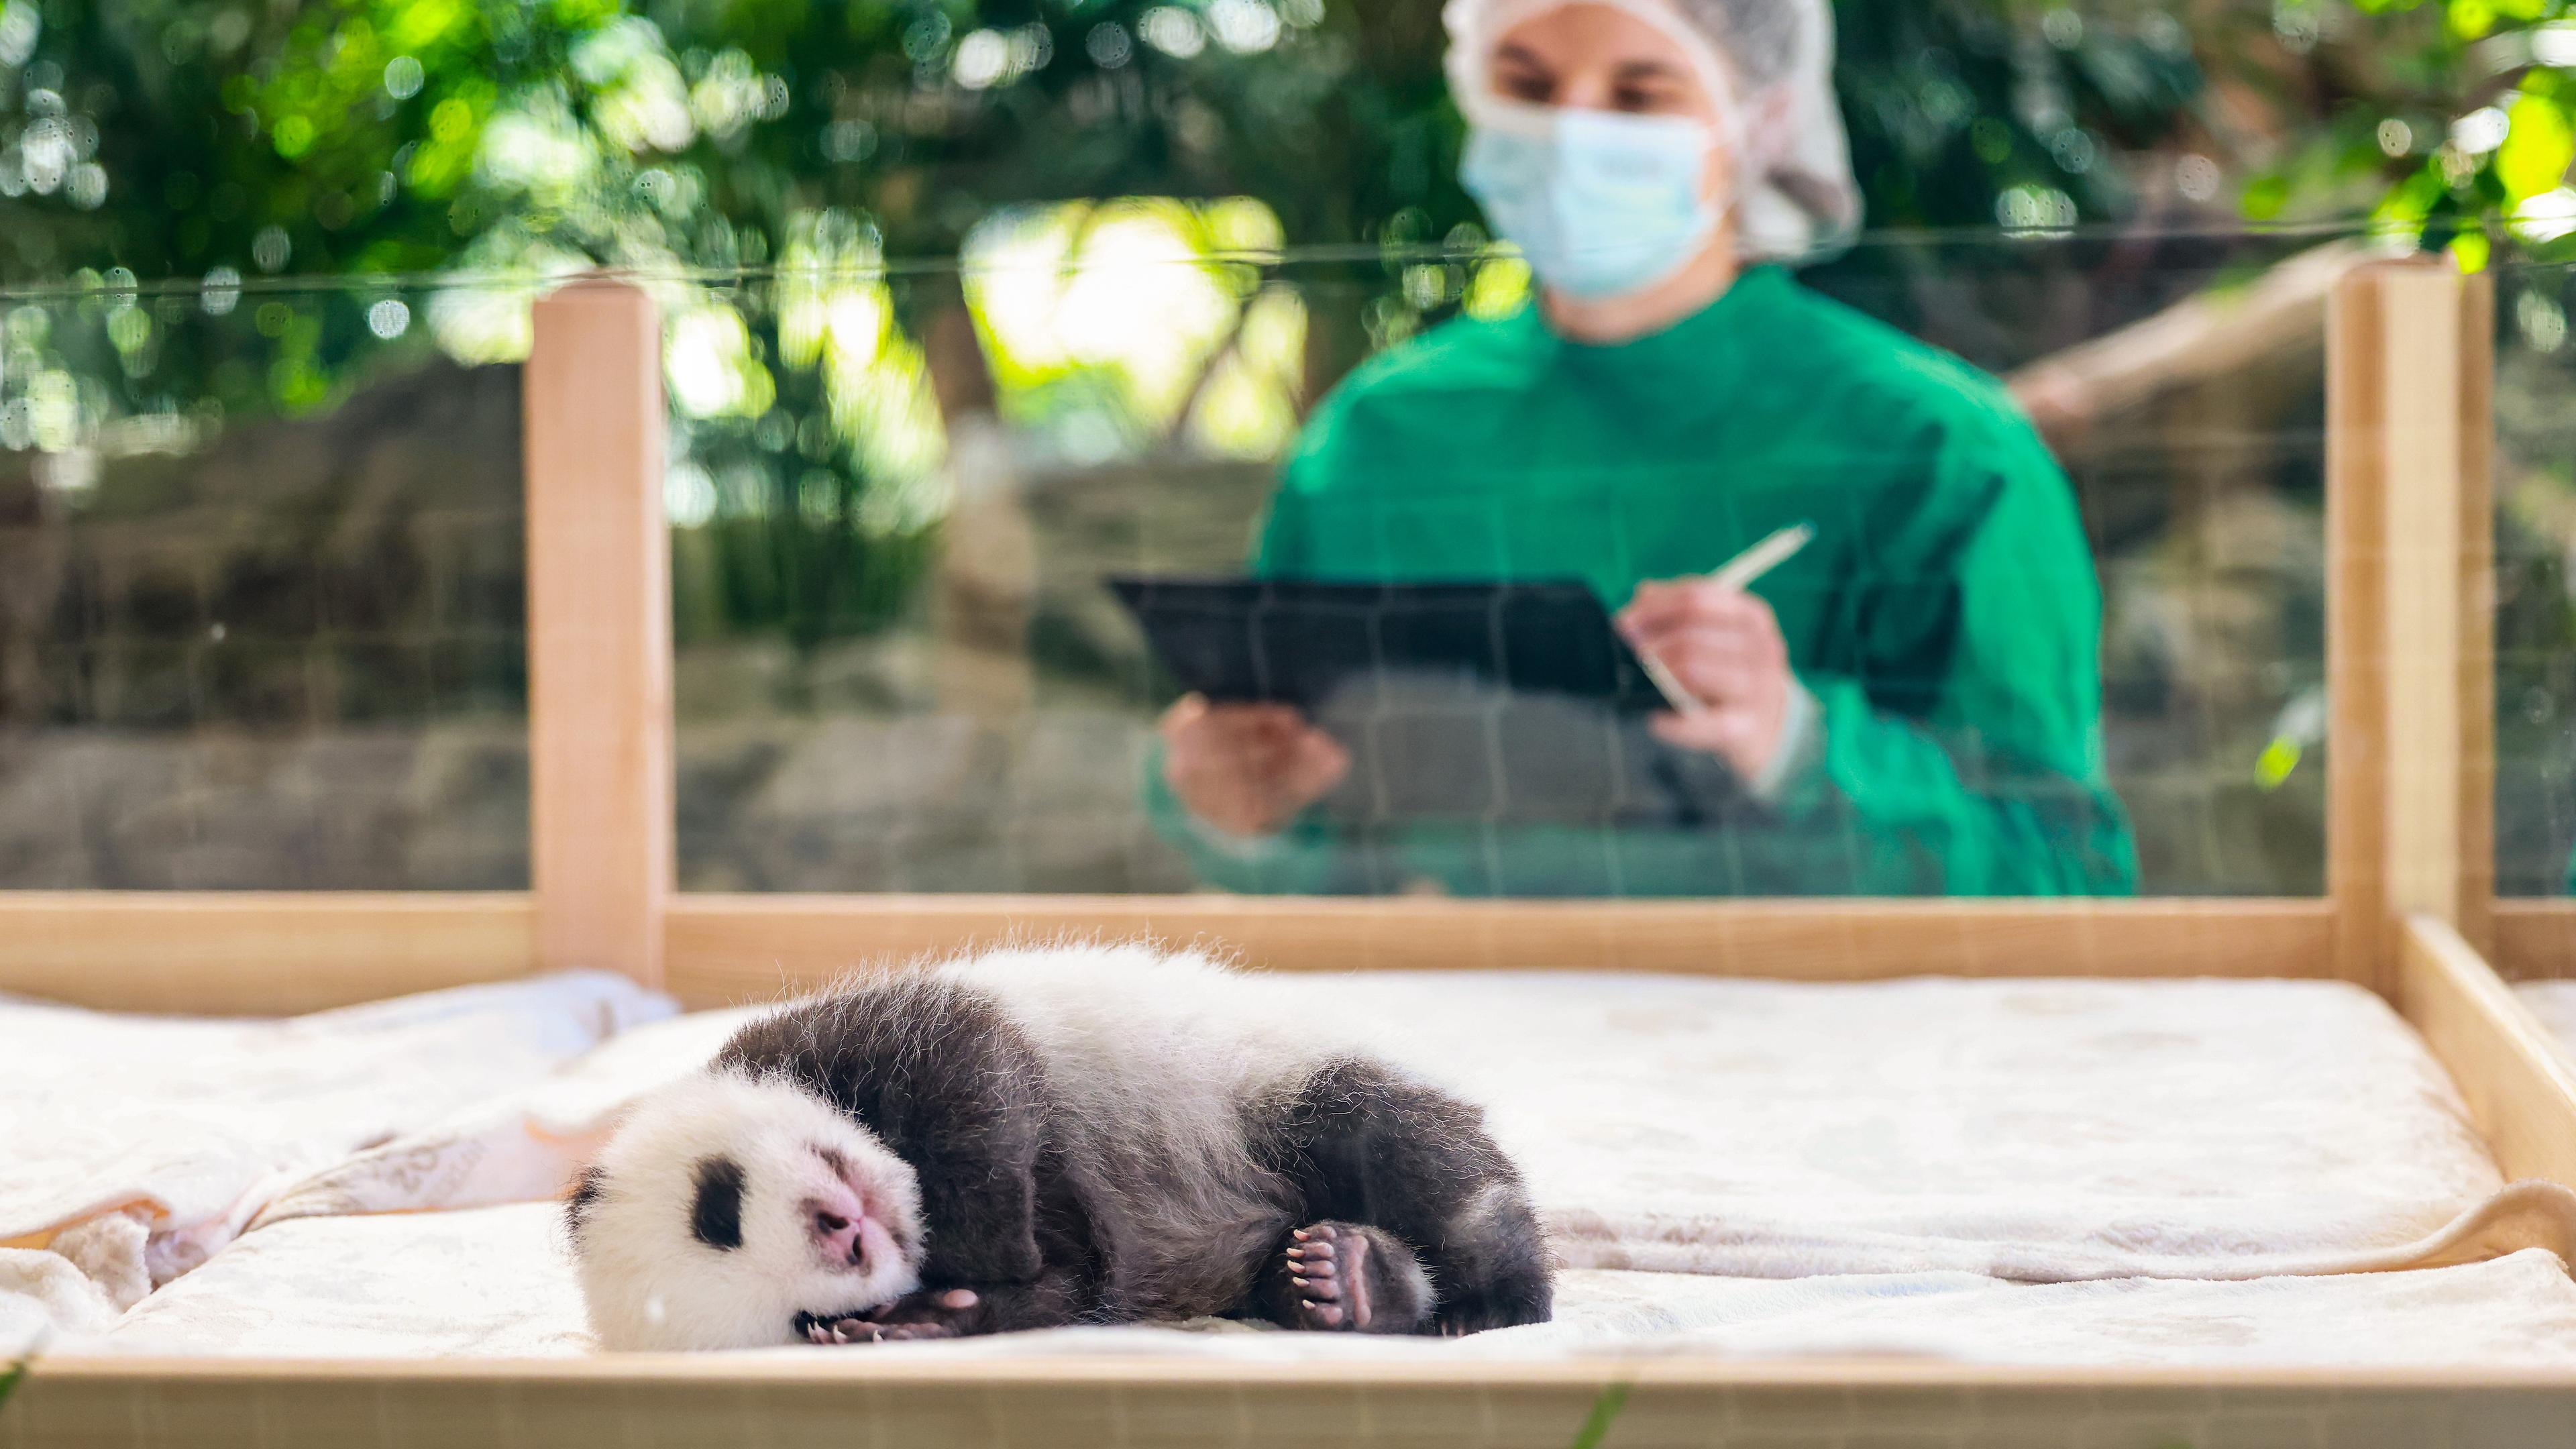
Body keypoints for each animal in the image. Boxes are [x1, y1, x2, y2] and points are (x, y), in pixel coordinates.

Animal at [569, 943, 1546, 1350]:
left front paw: (994, 1237)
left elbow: (977, 1077)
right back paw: (1343, 1284)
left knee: (1418, 1160)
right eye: (796, 1319)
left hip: (1283, 1087)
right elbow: (1072, 1285)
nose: (845, 1237)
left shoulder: (849, 1034)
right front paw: (925, 1317)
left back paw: (1488, 1304)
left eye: (718, 1208)